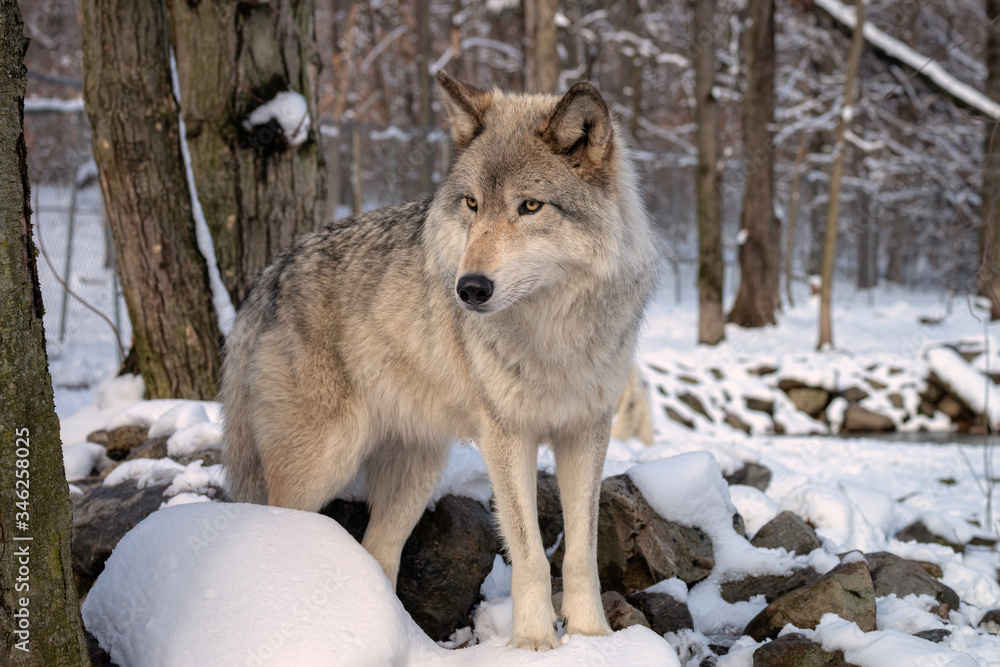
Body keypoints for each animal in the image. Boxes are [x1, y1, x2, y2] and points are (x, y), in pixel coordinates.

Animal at [221, 71, 659, 650]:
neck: (553, 333)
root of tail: (268, 276)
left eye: (530, 207)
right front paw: (535, 643)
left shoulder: (586, 430)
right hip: (321, 465)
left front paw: (594, 639)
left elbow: (581, 551)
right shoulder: (507, 435)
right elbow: (530, 556)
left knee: (378, 553)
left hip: (416, 472)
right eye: (472, 204)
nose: (469, 288)